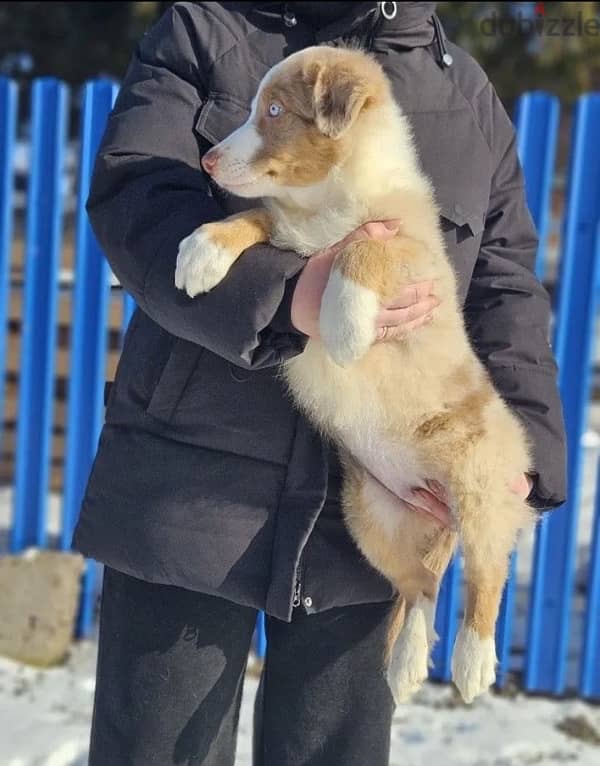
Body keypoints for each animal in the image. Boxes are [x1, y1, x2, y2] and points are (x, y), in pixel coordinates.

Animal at [175, 46, 536, 708]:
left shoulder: (415, 255)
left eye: (274, 110)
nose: (208, 159)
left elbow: (363, 249)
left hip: (479, 483)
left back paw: (473, 662)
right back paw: (407, 663)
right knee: (421, 586)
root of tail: (442, 510)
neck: (328, 201)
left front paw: (344, 323)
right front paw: (202, 251)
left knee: (486, 572)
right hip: (370, 516)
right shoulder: (289, 235)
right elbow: (256, 215)